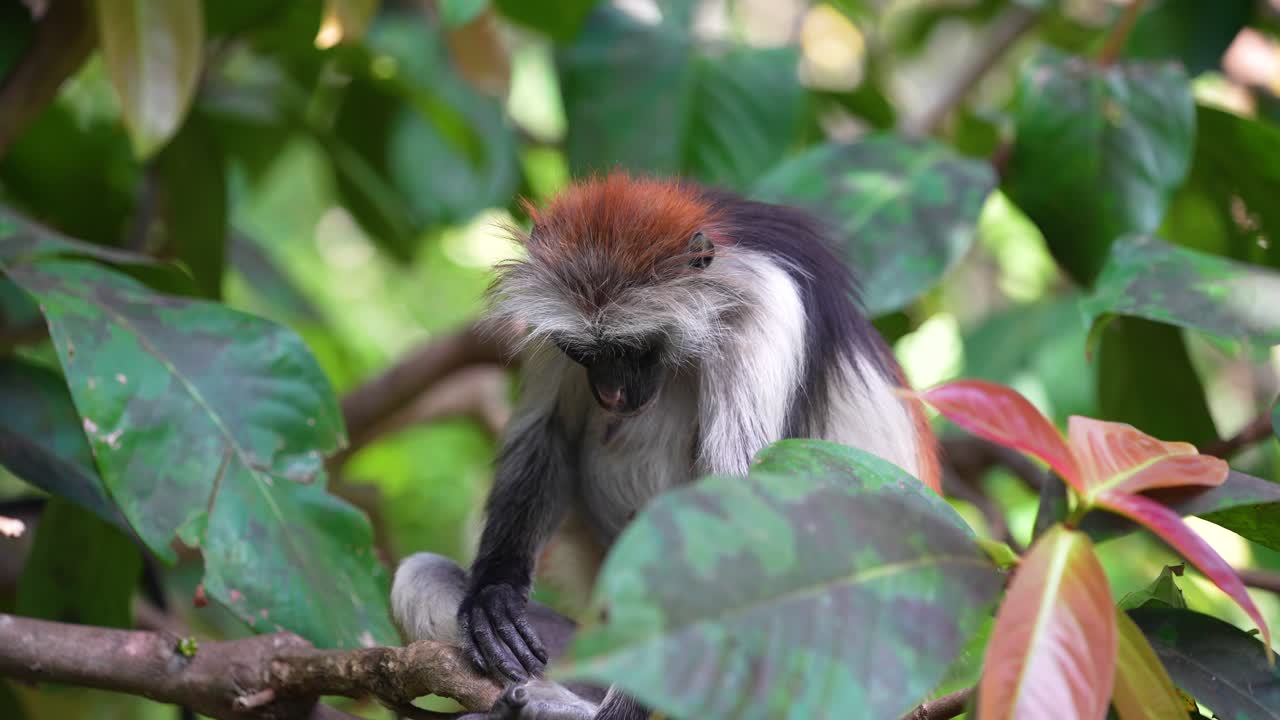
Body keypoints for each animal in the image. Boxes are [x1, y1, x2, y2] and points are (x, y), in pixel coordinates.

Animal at [391, 173, 941, 720]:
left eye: (635, 349)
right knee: (420, 574)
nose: (611, 394)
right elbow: (549, 434)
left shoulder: (765, 309)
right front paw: (495, 592)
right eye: (583, 352)